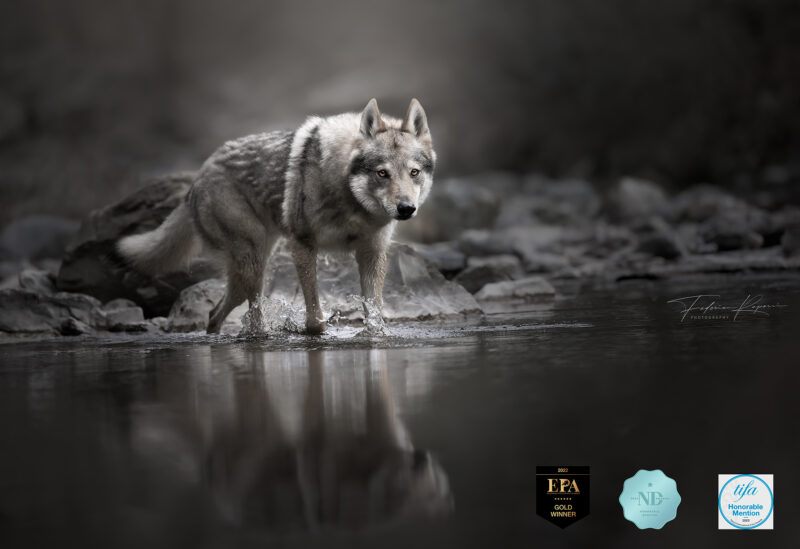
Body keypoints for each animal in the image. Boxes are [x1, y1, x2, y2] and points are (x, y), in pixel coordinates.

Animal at [118, 98, 435, 334]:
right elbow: (315, 314)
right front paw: (315, 332)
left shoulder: (372, 253)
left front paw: (375, 335)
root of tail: (198, 176)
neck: (351, 201)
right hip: (253, 266)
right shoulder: (303, 244)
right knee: (246, 314)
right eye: (382, 173)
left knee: (214, 315)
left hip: (251, 269)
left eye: (414, 172)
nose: (406, 208)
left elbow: (374, 311)